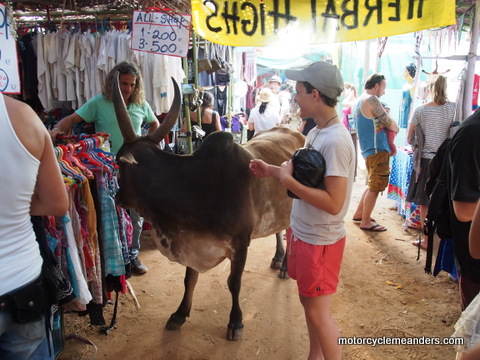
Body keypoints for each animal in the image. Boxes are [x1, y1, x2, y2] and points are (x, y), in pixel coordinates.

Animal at [112, 74, 304, 340]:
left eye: (118, 165)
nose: (117, 196)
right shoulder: (192, 242)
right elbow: (189, 279)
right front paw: (180, 314)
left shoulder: (240, 243)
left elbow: (234, 283)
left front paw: (236, 322)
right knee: (279, 229)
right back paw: (277, 258)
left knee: (289, 231)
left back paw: (285, 266)